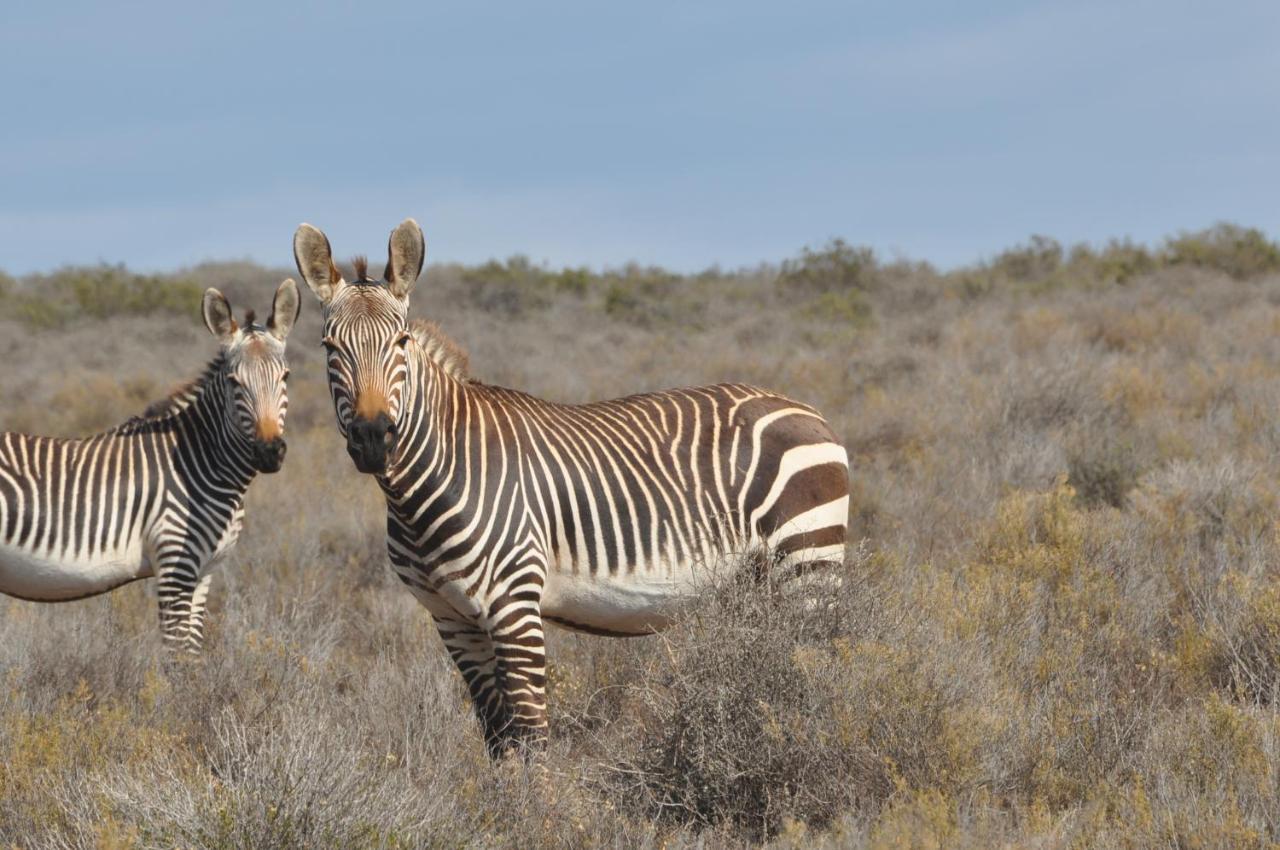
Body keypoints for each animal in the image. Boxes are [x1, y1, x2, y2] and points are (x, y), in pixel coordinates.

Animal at [0, 279, 298, 650]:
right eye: (234, 382)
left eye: (286, 377)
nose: (269, 452)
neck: (199, 460)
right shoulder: (175, 566)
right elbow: (178, 654)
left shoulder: (203, 574)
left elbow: (193, 653)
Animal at [293, 220, 844, 757]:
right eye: (329, 348)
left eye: (401, 341)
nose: (372, 439)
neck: (428, 485)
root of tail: (808, 410)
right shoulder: (452, 619)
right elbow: (498, 737)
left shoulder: (514, 605)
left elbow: (530, 737)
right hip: (751, 585)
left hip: (806, 566)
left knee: (815, 672)